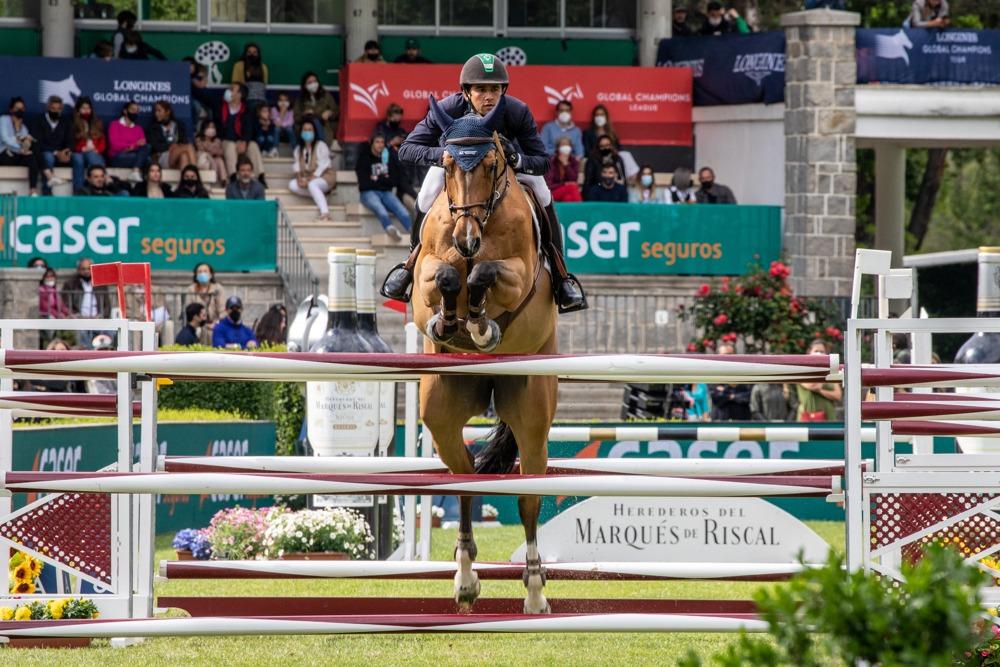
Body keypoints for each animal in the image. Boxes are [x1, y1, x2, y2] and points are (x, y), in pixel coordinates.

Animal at [410, 96, 560, 612]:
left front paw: (480, 324)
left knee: (528, 497)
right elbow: (443, 278)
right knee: (466, 478)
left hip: (531, 410)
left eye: (494, 164)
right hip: (441, 411)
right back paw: (465, 581)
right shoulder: (424, 278)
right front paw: (449, 321)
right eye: (447, 161)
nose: (466, 240)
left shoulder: (519, 274)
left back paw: (534, 591)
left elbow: (484, 275)